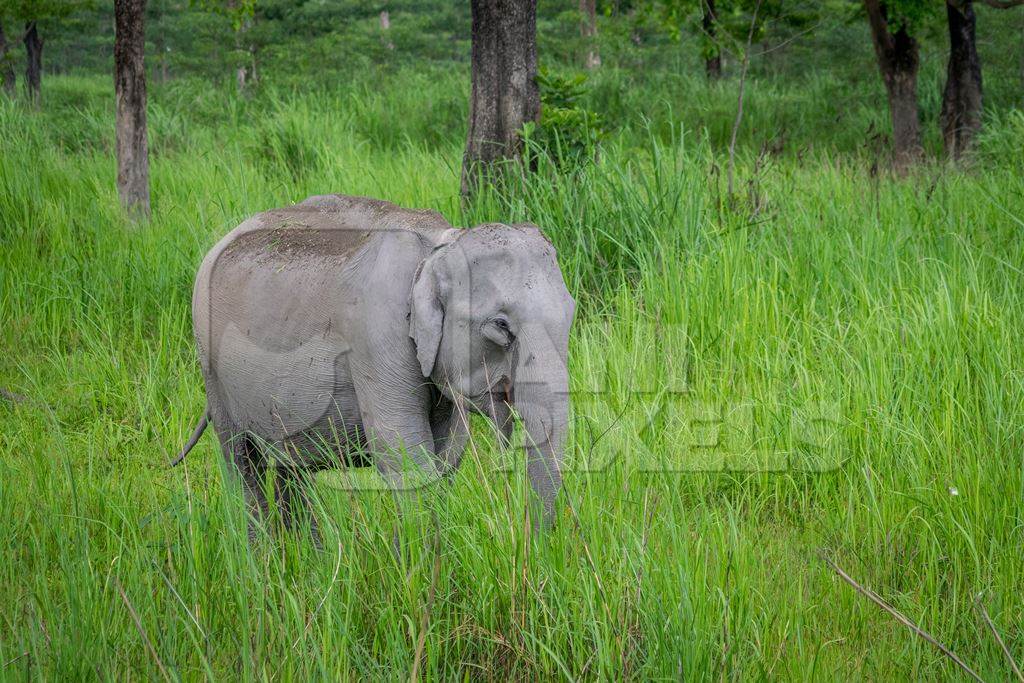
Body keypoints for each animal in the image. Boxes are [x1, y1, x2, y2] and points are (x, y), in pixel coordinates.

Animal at [176, 194, 577, 540]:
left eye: (572, 313)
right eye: (501, 325)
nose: (529, 546)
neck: (438, 247)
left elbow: (447, 455)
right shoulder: (377, 335)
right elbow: (402, 451)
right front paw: (418, 571)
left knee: (291, 467)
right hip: (211, 364)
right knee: (242, 462)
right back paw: (261, 564)